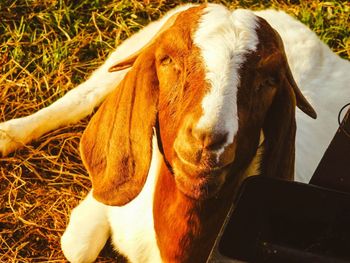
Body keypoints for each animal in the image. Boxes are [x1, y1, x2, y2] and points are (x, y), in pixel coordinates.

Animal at [0, 2, 348, 263]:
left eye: (269, 81)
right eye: (167, 60)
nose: (207, 141)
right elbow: (78, 246)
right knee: (85, 95)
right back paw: (8, 134)